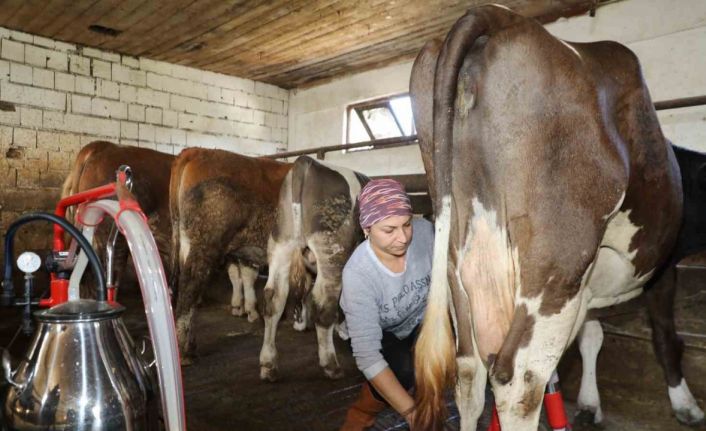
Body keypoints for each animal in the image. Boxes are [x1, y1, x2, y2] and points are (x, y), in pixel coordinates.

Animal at [169, 148, 290, 364]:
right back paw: (184, 352)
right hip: (206, 244)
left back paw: (190, 345)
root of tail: (195, 151)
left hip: (187, 242)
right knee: (189, 287)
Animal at [258, 155, 368, 382]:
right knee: (324, 302)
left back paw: (268, 364)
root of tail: (306, 161)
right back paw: (331, 365)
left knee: (274, 299)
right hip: (332, 250)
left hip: (281, 242)